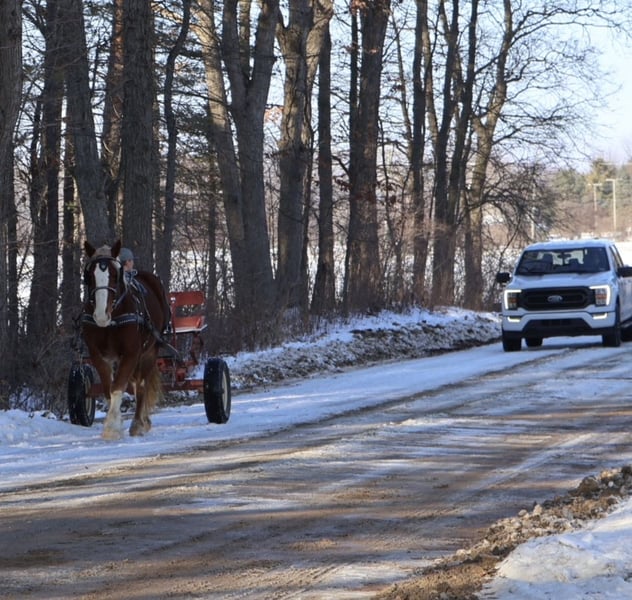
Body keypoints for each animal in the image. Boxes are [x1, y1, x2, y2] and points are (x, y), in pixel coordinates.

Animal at [81, 240, 170, 440]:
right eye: (90, 276)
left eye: (115, 275)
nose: (101, 316)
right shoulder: (98, 355)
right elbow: (108, 388)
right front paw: (114, 422)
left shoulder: (131, 353)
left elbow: (118, 386)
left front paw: (112, 428)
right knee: (135, 383)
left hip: (149, 351)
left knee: (141, 384)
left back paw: (139, 423)